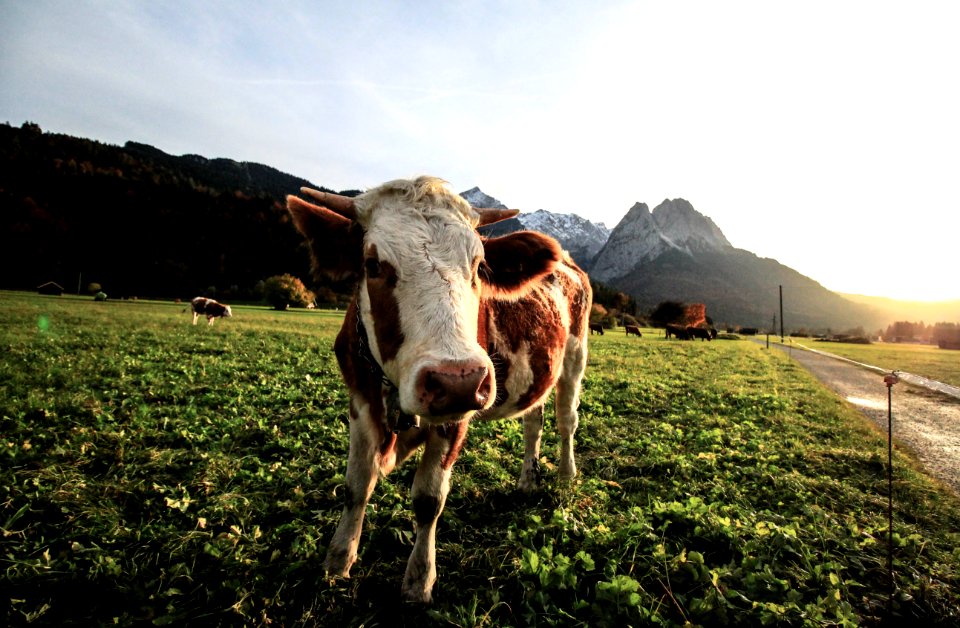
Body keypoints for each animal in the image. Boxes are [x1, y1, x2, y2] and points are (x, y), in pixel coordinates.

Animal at [284, 177, 588, 604]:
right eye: (373, 265)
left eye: (479, 266)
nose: (456, 380)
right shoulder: (360, 401)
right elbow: (356, 485)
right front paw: (338, 559)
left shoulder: (457, 414)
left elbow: (428, 499)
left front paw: (419, 579)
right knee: (534, 421)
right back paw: (528, 480)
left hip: (575, 356)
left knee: (566, 421)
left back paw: (565, 475)